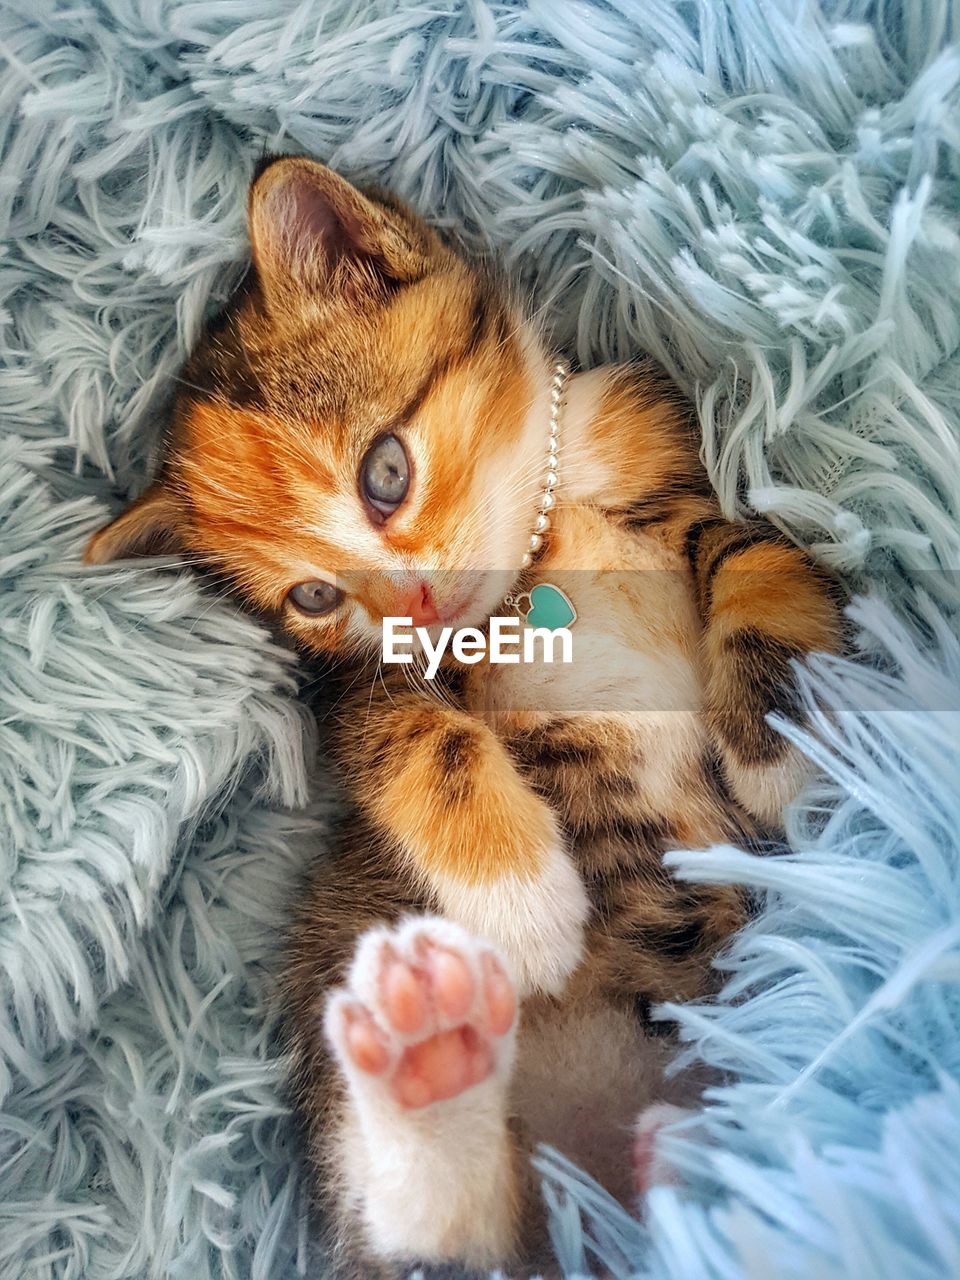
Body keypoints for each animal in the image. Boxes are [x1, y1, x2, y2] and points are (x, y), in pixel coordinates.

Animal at [88, 154, 839, 1274]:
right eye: (314, 596)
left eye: (385, 473)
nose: (418, 608)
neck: (534, 558)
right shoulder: (360, 688)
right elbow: (413, 738)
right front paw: (524, 902)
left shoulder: (668, 463)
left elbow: (754, 553)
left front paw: (785, 739)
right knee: (443, 1233)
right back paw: (429, 1059)